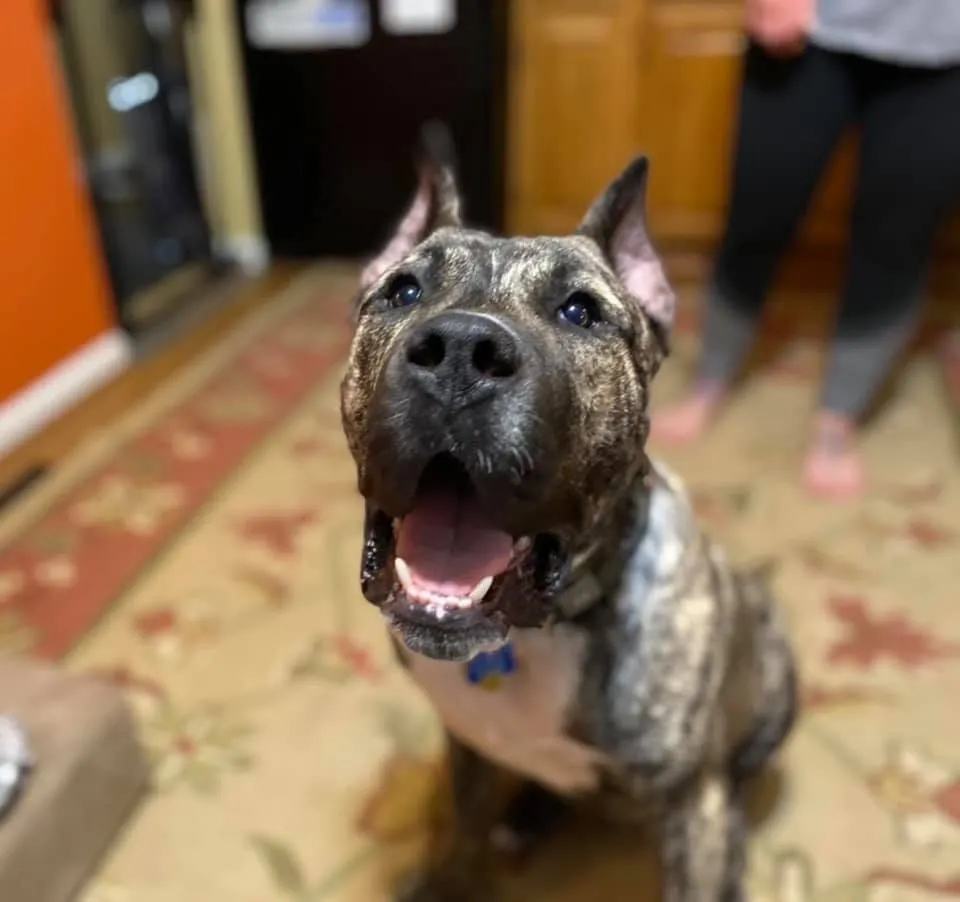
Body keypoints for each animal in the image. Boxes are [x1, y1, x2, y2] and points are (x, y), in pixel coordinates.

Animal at [339, 125, 798, 902]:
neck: (538, 632)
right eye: (403, 290)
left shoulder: (693, 807)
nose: (460, 349)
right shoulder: (466, 750)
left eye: (581, 311)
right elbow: (461, 836)